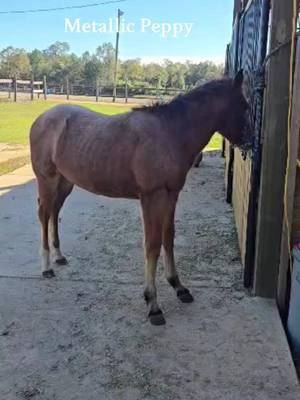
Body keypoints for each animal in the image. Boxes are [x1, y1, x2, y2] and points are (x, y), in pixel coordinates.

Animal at [30, 69, 251, 324]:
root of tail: (42, 118)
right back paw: (46, 266)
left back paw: (58, 256)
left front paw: (178, 286)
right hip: (47, 180)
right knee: (44, 215)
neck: (169, 133)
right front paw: (153, 303)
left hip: (65, 182)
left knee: (54, 212)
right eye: (244, 105)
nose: (251, 144)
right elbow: (152, 245)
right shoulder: (151, 198)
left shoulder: (171, 195)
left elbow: (168, 238)